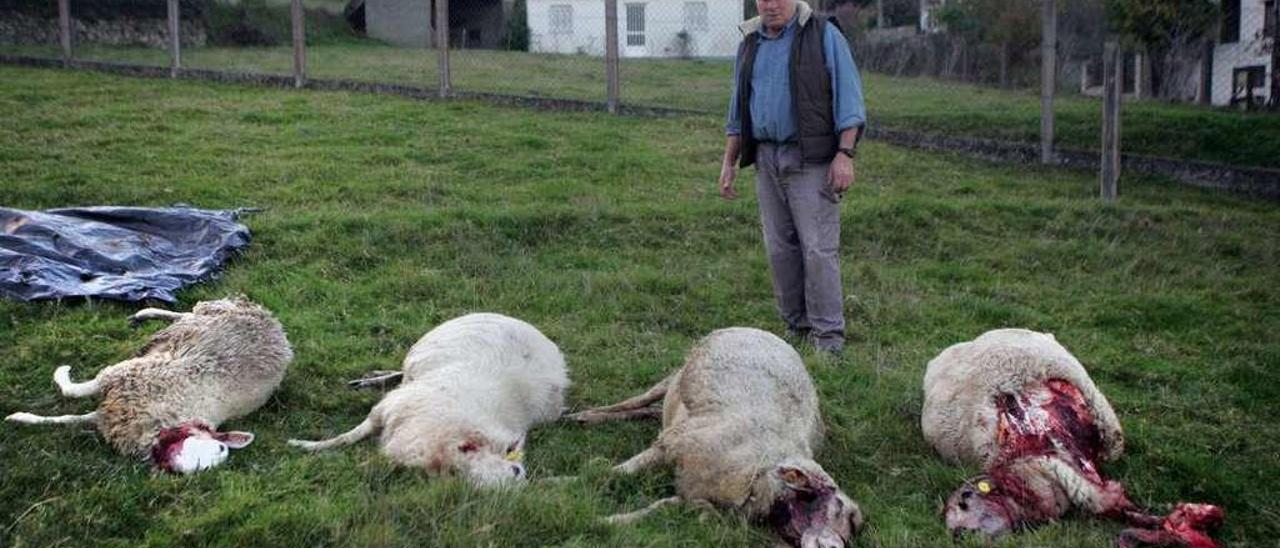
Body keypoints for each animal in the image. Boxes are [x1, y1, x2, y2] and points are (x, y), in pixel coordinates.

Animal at [5, 297, 290, 473]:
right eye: (219, 447)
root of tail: (277, 329)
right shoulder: (120, 376)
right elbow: (72, 390)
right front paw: (61, 372)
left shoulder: (111, 413)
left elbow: (67, 420)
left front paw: (20, 418)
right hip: (207, 314)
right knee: (184, 313)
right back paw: (145, 313)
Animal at [293, 312, 573, 489]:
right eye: (514, 469)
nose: (518, 472)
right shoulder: (385, 410)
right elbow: (346, 437)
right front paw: (306, 445)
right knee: (401, 373)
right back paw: (370, 380)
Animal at [568, 327, 860, 545]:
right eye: (841, 510)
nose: (851, 535)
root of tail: (759, 329)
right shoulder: (670, 445)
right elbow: (613, 473)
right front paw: (564, 483)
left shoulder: (693, 496)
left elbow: (659, 507)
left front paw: (607, 521)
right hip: (674, 377)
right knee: (640, 400)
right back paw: (584, 416)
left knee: (650, 411)